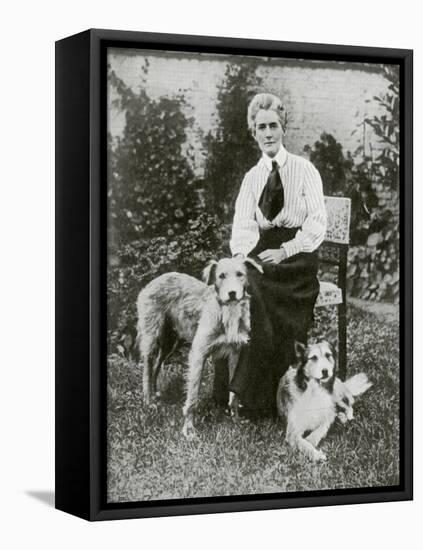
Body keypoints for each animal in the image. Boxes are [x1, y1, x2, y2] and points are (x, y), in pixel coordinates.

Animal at [137, 258, 262, 440]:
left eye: (240, 274)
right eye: (221, 276)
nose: (232, 293)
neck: (226, 312)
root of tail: (157, 279)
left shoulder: (235, 353)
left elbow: (234, 394)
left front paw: (235, 421)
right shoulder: (198, 353)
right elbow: (193, 396)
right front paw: (189, 429)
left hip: (169, 342)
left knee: (156, 367)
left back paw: (155, 395)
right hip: (152, 337)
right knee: (147, 366)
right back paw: (148, 401)